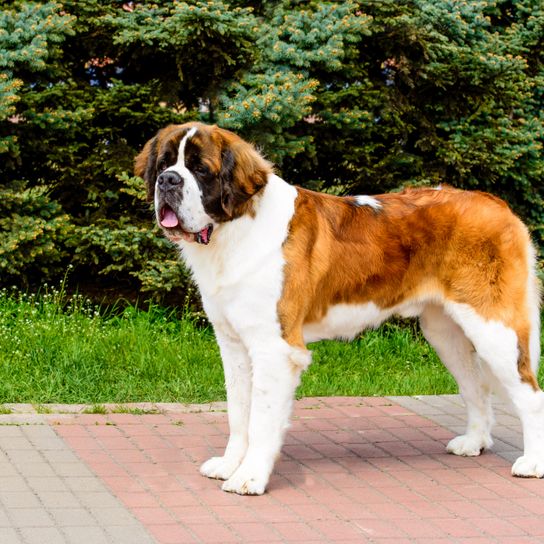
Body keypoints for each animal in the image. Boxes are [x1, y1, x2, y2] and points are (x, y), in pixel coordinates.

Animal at [136, 121, 544, 496]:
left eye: (200, 169)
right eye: (164, 164)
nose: (168, 181)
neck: (234, 229)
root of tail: (498, 205)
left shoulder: (275, 349)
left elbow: (261, 420)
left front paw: (249, 478)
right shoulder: (233, 344)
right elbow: (239, 412)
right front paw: (229, 464)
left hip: (494, 328)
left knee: (530, 395)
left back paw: (532, 464)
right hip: (446, 332)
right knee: (476, 386)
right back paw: (474, 442)